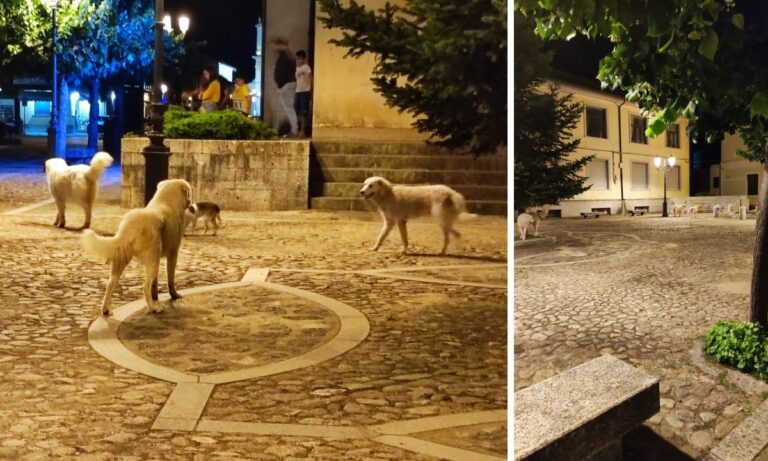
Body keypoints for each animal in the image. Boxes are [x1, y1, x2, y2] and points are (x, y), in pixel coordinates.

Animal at [81, 178, 192, 314]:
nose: (190, 202)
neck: (165, 200)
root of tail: (131, 225)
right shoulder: (173, 253)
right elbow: (170, 279)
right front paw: (174, 296)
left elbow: (155, 283)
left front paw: (155, 296)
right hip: (153, 259)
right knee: (144, 286)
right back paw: (153, 308)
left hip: (120, 259)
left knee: (110, 284)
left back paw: (106, 309)